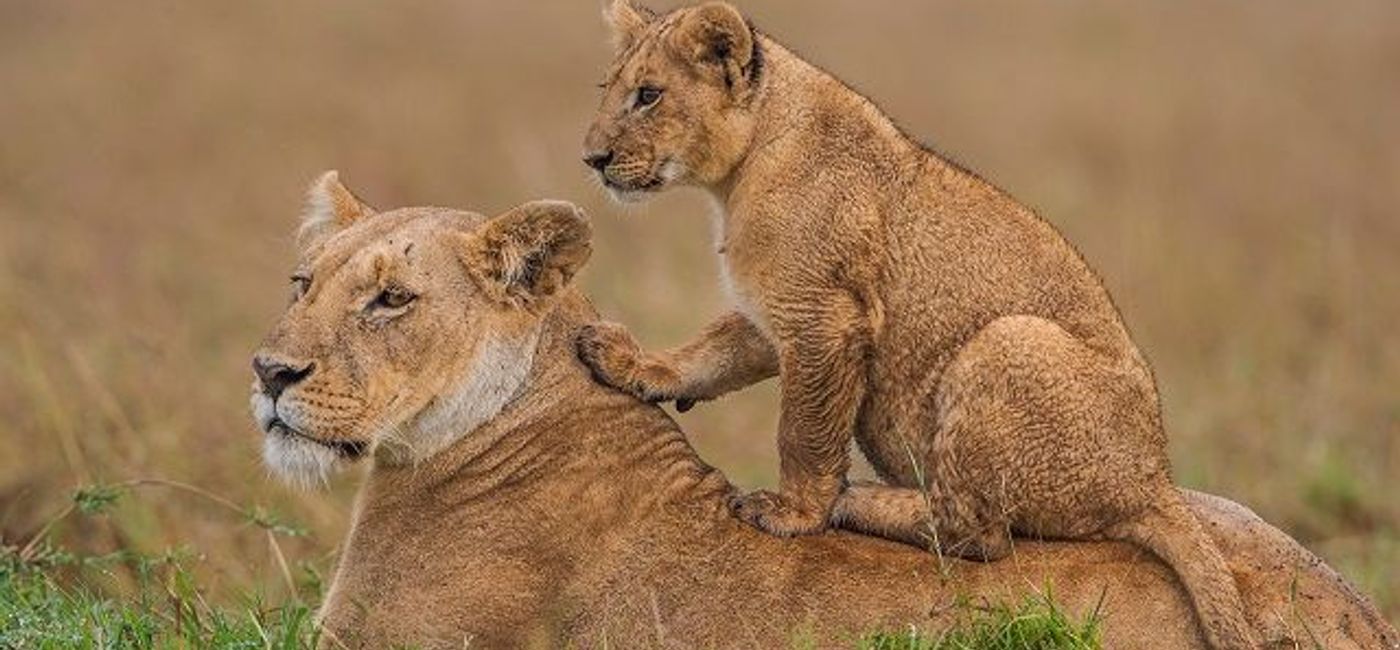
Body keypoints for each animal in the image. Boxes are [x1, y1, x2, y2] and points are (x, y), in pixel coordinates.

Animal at [576, 1, 1276, 647]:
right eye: (608, 88)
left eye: (648, 95)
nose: (592, 158)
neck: (738, 173)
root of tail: (1154, 478)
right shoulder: (774, 312)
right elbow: (710, 352)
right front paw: (631, 365)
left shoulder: (825, 317)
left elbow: (803, 431)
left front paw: (794, 513)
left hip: (1007, 342)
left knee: (979, 533)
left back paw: (857, 499)